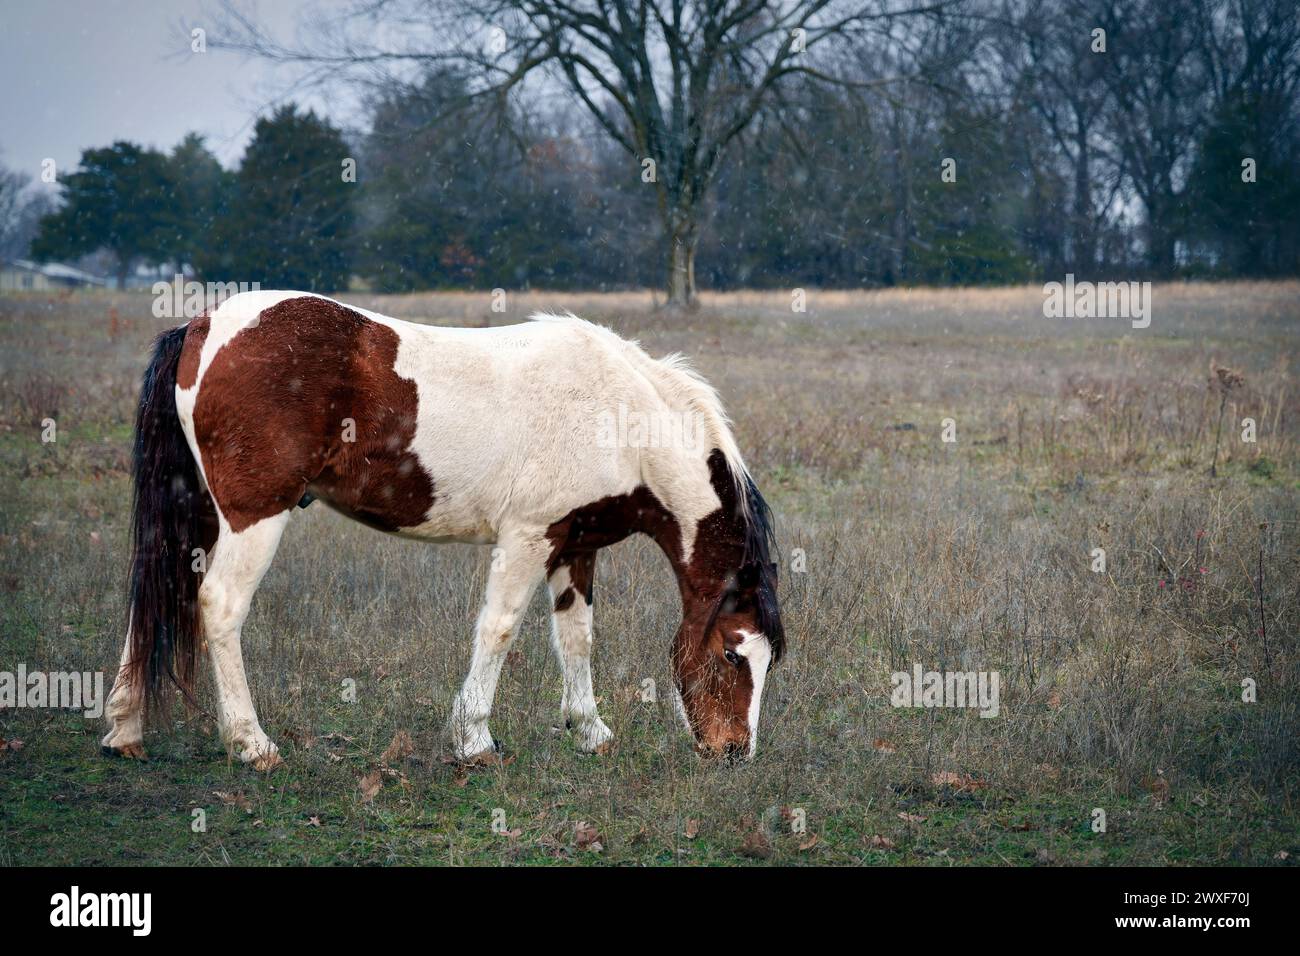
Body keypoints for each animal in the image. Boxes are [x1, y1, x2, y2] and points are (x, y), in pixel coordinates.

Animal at [100, 292, 784, 769]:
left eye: (769, 660)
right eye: (731, 652)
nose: (734, 753)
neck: (619, 415)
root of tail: (199, 328)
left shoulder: (575, 546)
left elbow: (577, 637)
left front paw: (590, 731)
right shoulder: (528, 539)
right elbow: (500, 630)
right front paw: (474, 740)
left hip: (196, 515)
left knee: (155, 594)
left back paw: (124, 730)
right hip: (253, 518)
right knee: (219, 606)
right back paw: (251, 743)